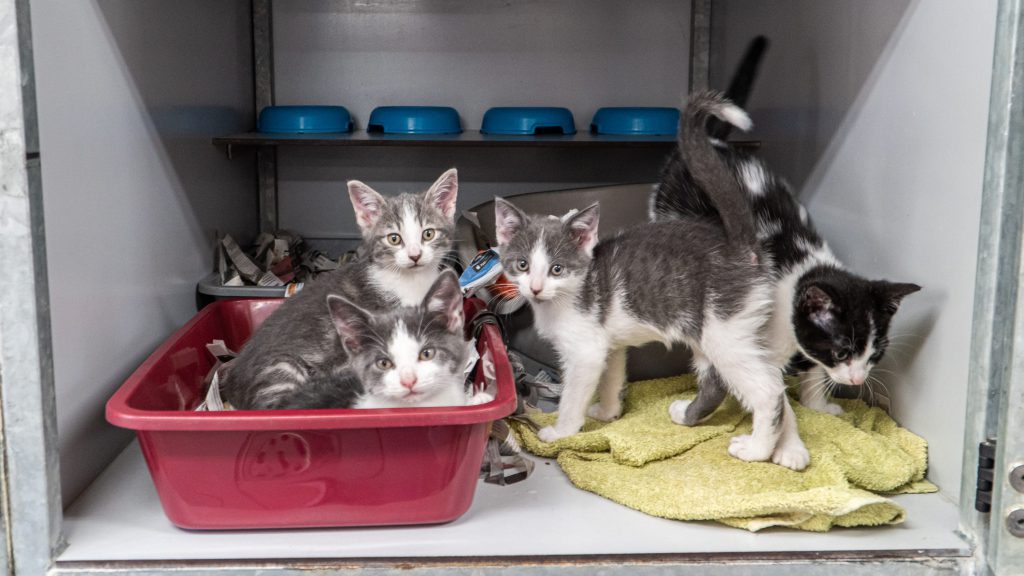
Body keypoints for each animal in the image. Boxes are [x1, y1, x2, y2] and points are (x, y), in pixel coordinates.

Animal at [221, 167, 460, 407]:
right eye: (394, 238)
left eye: (428, 234)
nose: (415, 256)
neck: (410, 281)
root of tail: (230, 381)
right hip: (280, 370)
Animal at [493, 91, 806, 469]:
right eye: (522, 264)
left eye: (557, 269)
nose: (536, 288)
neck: (570, 294)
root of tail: (740, 245)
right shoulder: (608, 343)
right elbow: (612, 375)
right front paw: (609, 412)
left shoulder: (585, 351)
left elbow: (573, 395)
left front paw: (561, 431)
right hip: (732, 330)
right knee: (765, 379)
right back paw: (778, 444)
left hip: (723, 331)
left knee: (767, 389)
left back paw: (757, 449)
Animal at [647, 112, 921, 416]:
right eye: (841, 352)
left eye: (875, 354)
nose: (857, 379)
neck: (801, 270)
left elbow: (813, 366)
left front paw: (818, 407)